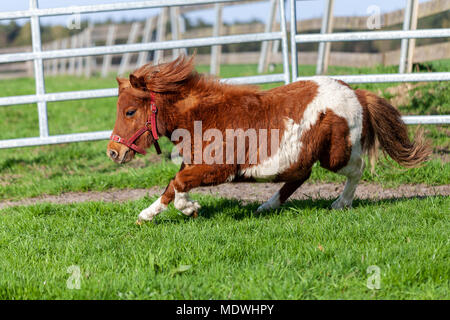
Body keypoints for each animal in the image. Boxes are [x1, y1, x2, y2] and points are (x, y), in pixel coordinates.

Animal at [107, 55, 430, 222]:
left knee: (356, 170)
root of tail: (356, 92)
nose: (113, 152)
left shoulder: (219, 169)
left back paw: (341, 203)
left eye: (130, 111)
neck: (204, 117)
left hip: (336, 156)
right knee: (299, 176)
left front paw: (190, 207)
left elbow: (178, 183)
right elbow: (171, 186)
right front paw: (147, 214)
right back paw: (267, 206)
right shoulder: (195, 164)